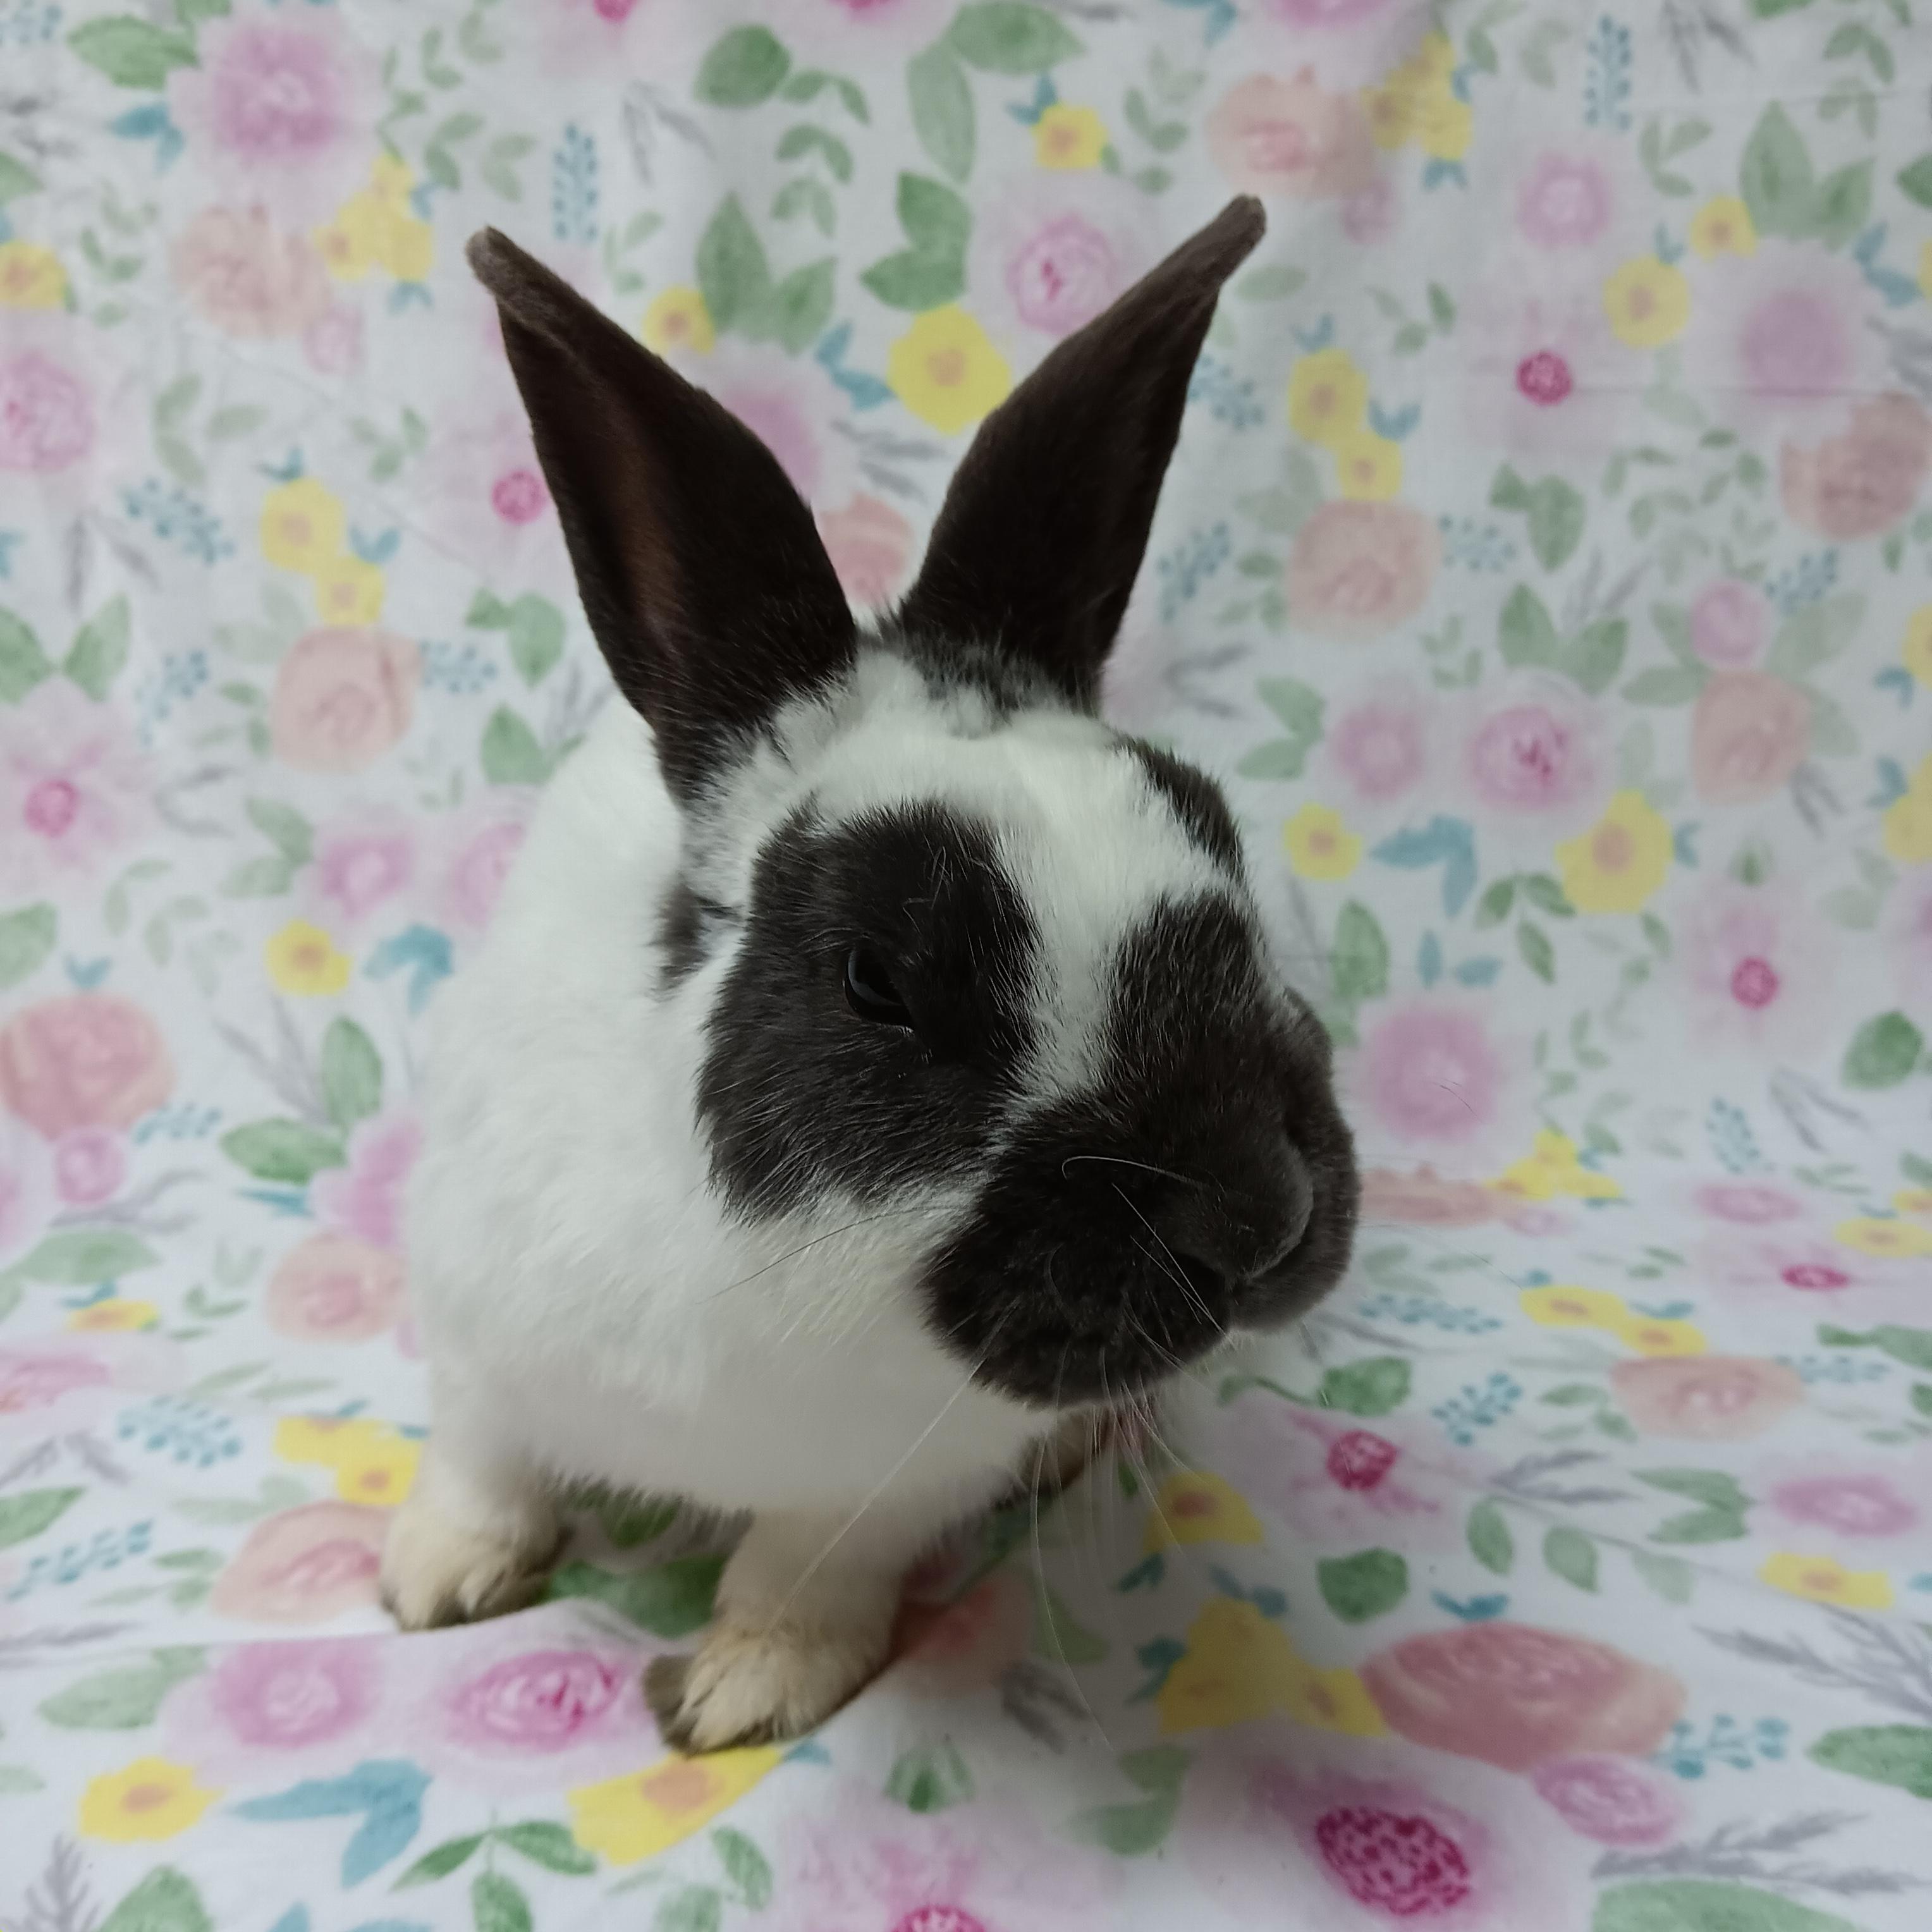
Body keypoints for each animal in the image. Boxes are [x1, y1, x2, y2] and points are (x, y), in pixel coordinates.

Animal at [380, 195, 1359, 1754]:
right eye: (877, 978)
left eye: (1213, 831)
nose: (1260, 1213)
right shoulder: (471, 1324)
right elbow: (481, 1459)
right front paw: (434, 1580)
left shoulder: (886, 1487)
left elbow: (803, 1571)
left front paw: (742, 1691)